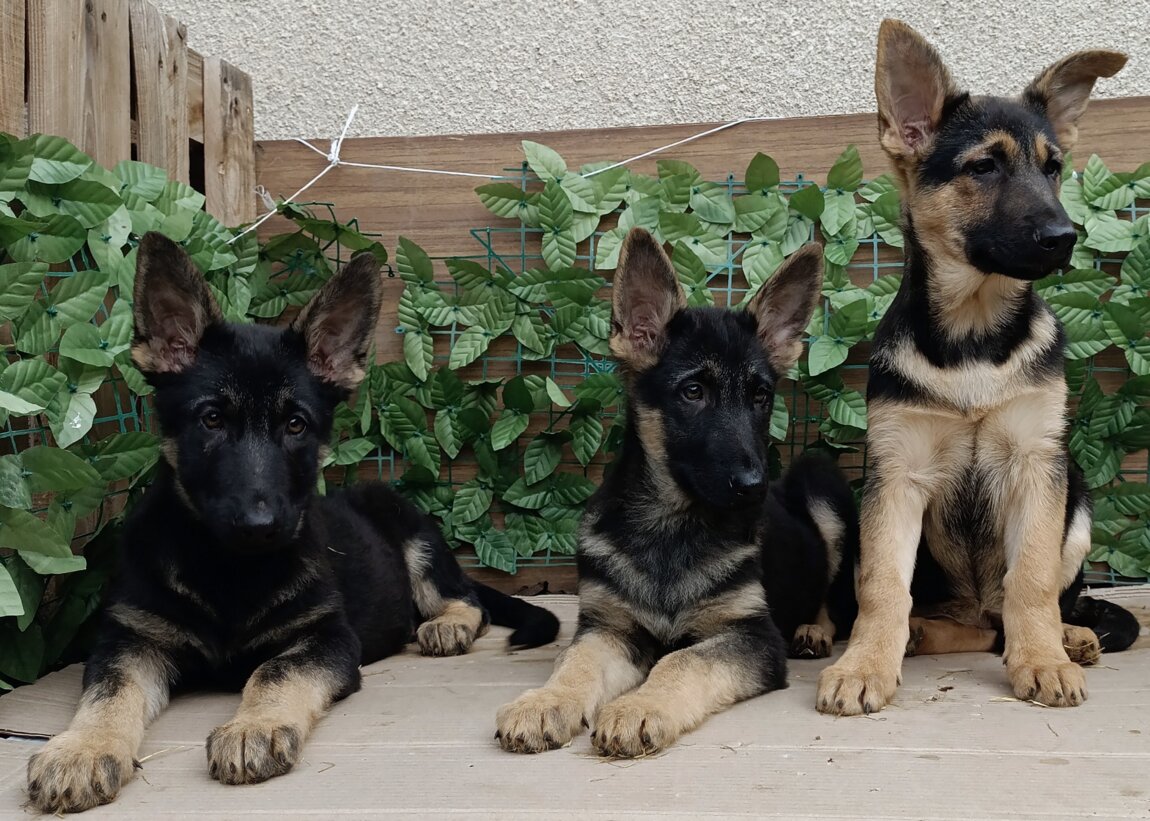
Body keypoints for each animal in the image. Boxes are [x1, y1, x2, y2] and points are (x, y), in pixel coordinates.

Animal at [25, 232, 560, 813]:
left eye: (297, 425)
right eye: (211, 419)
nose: (261, 525)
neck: (229, 572)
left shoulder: (326, 638)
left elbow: (273, 671)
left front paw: (252, 727)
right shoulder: (129, 640)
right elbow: (109, 692)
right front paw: (82, 749)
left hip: (412, 534)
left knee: (468, 599)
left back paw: (446, 625)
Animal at [495, 227, 858, 757]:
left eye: (760, 397)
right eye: (692, 392)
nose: (754, 489)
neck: (672, 523)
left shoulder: (753, 637)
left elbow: (681, 661)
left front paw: (641, 707)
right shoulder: (609, 628)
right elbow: (576, 663)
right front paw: (547, 702)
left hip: (818, 481)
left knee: (830, 597)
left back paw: (813, 629)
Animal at [816, 19, 1139, 717]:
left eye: (1053, 168)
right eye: (983, 167)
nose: (1064, 237)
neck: (974, 333)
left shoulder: (1037, 464)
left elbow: (1032, 580)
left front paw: (1041, 658)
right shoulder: (896, 472)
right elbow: (883, 585)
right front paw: (865, 664)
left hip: (1077, 499)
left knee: (1020, 610)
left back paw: (1068, 637)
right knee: (966, 623)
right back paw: (919, 635)